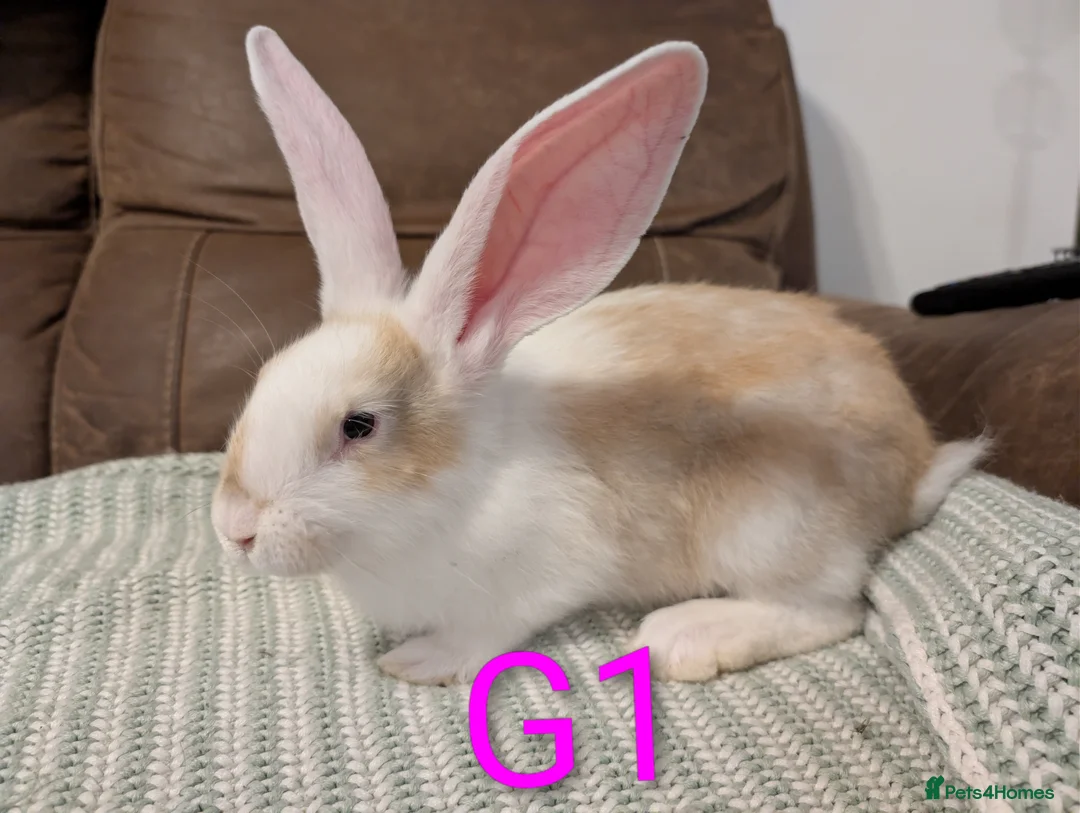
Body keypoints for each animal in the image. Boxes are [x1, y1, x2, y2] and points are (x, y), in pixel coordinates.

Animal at [211, 26, 989, 686]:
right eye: (261, 382)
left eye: (359, 426)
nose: (234, 530)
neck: (459, 482)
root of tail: (911, 470)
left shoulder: (540, 574)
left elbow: (484, 635)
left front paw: (419, 662)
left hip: (771, 529)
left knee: (834, 609)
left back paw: (686, 635)